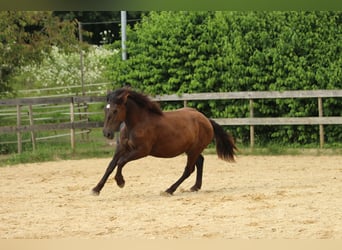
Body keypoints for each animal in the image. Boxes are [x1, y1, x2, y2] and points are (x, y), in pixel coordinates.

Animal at [91, 87, 238, 195]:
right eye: (105, 109)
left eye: (115, 110)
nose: (107, 133)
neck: (137, 123)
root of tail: (206, 120)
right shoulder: (122, 147)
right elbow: (111, 165)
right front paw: (96, 189)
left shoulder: (142, 151)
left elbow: (121, 162)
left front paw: (120, 182)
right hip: (191, 150)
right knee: (200, 162)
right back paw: (195, 187)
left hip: (193, 150)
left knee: (188, 169)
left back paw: (169, 190)